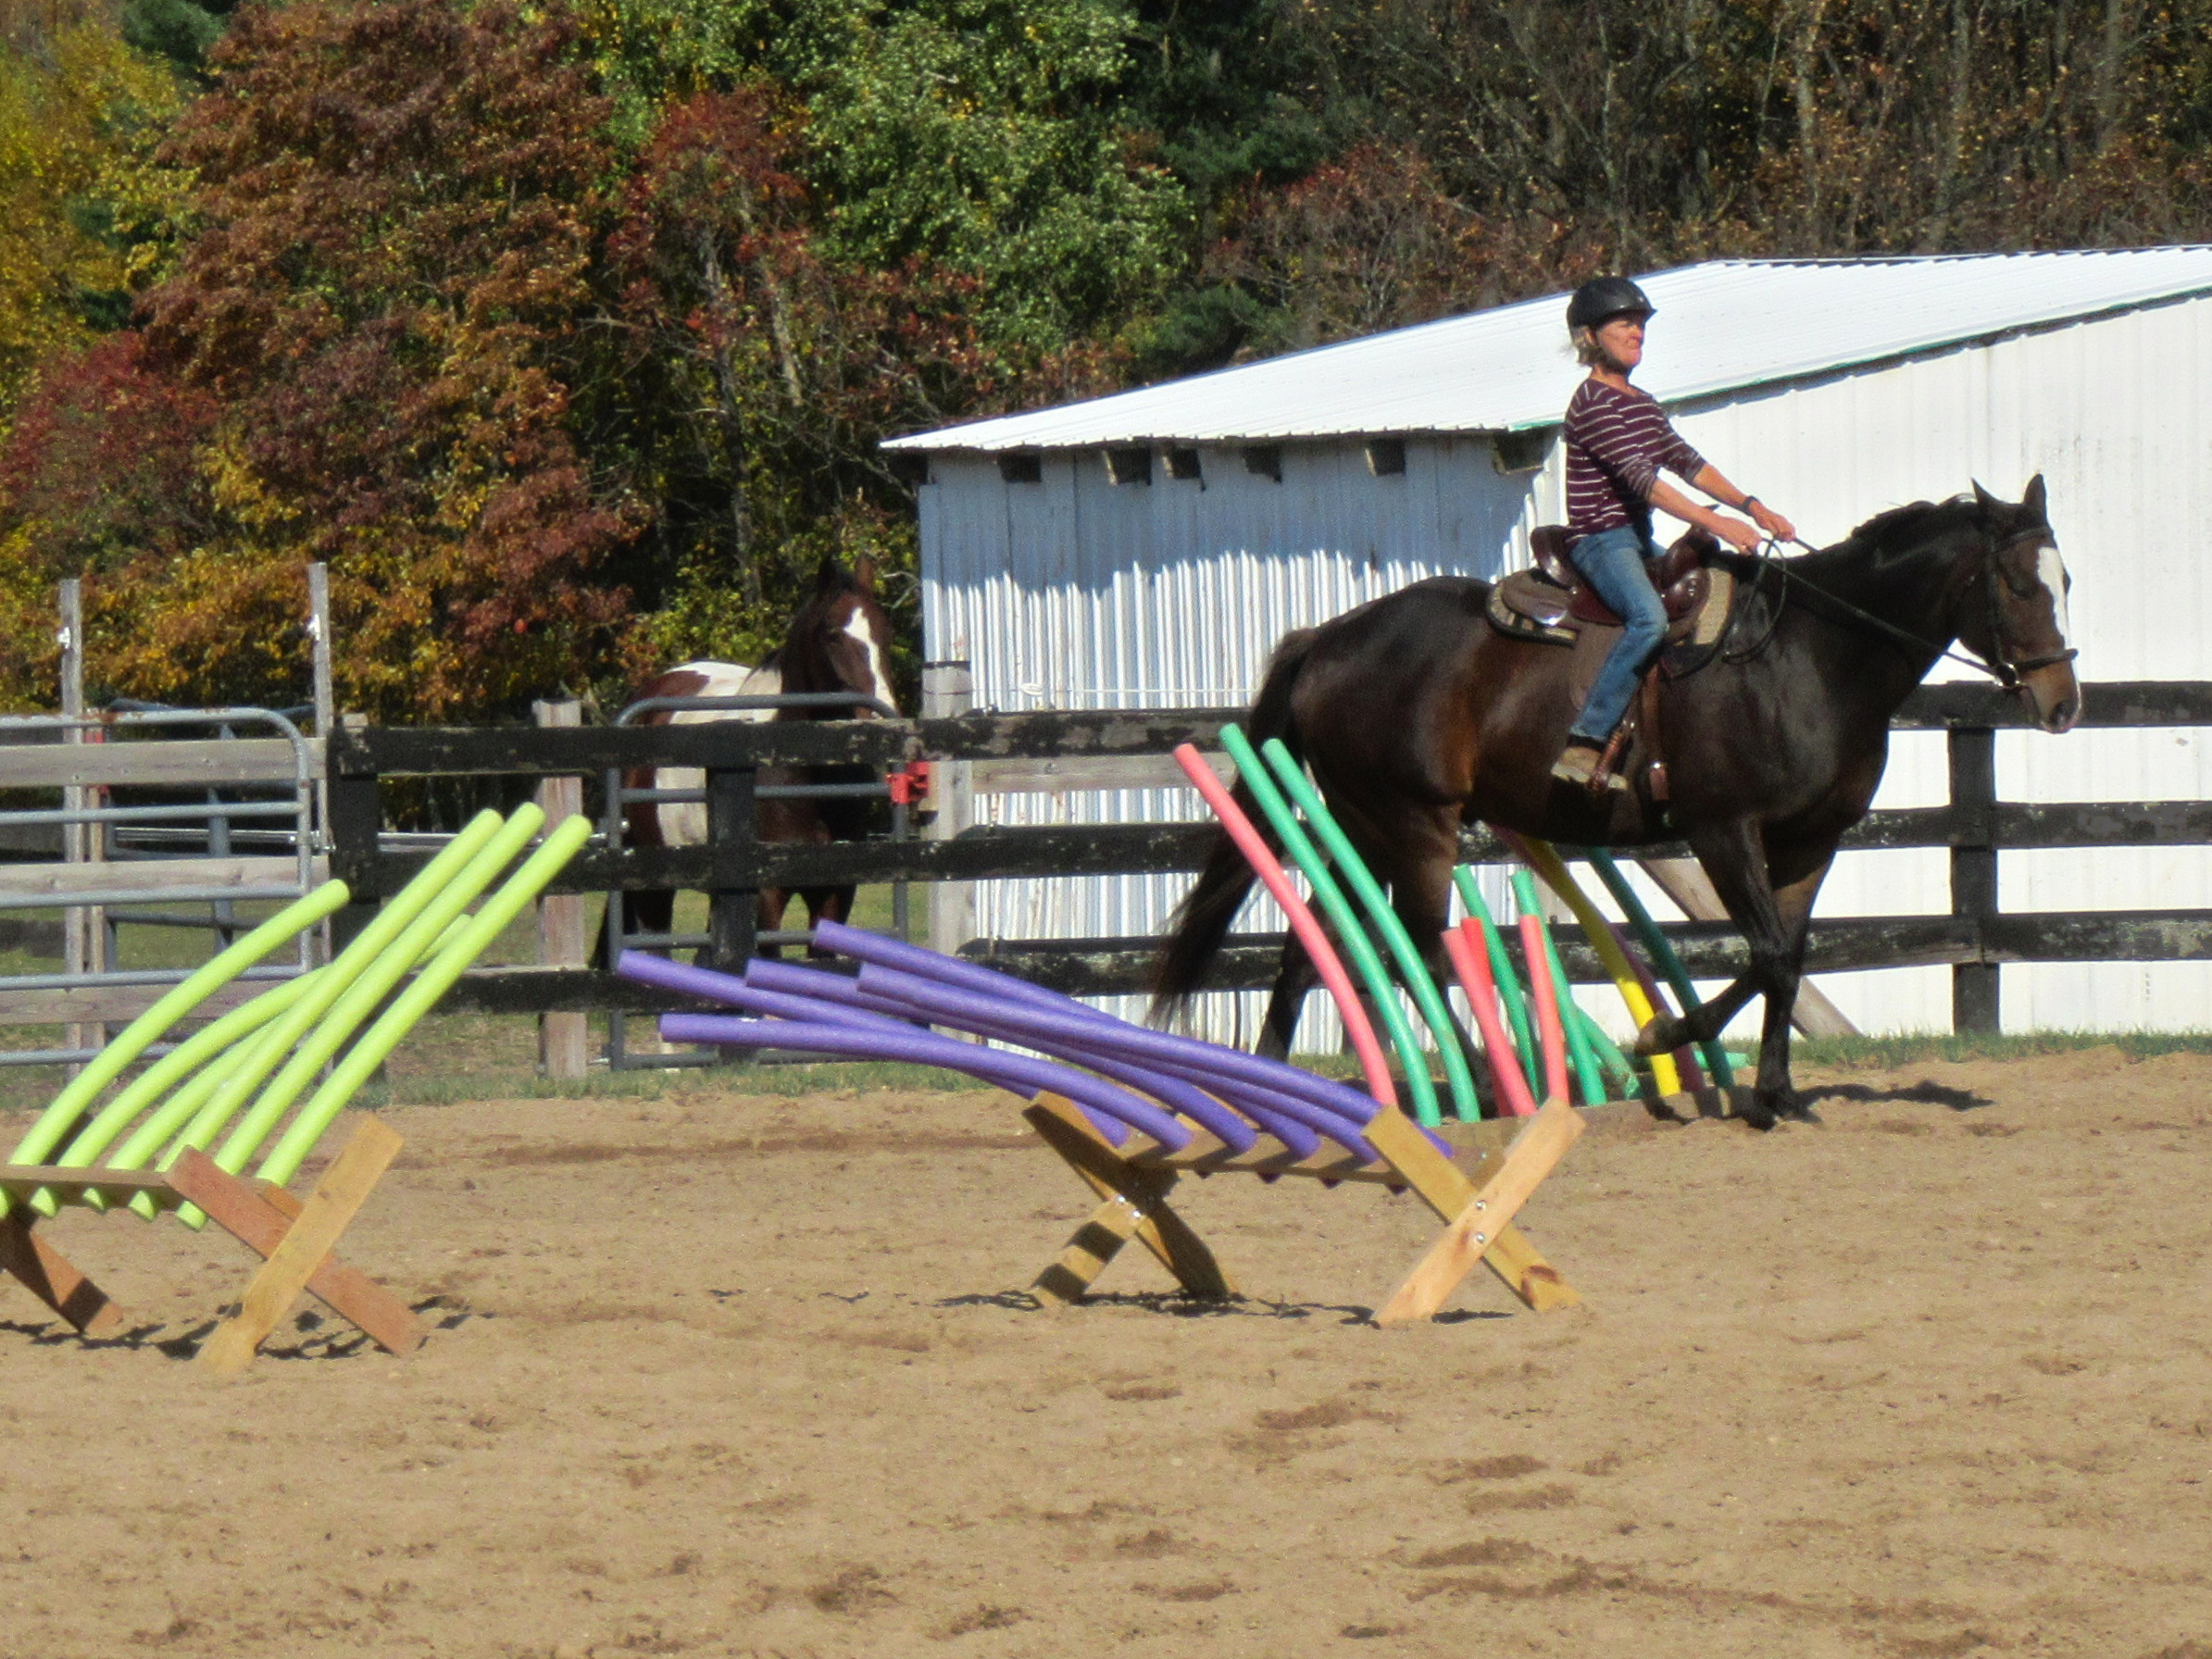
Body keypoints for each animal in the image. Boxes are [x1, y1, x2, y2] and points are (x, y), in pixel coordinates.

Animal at [615, 557, 900, 959]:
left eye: (885, 634)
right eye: (833, 635)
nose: (880, 716)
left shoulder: (835, 892)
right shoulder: (766, 895)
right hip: (653, 885)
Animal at [1152, 479, 2082, 1129]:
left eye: (2064, 576)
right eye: (2014, 583)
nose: (2062, 703)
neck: (1807, 656)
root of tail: (1328, 639)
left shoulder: (1810, 842)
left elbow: (1785, 957)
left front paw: (1773, 1091)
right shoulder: (1721, 831)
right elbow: (1766, 956)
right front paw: (1663, 1045)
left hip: (1361, 823)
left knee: (1311, 947)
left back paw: (1277, 1081)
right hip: (1415, 825)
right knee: (1416, 943)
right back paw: (1482, 1089)